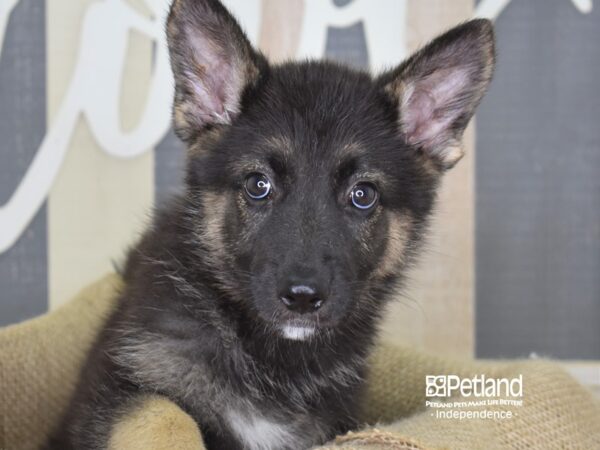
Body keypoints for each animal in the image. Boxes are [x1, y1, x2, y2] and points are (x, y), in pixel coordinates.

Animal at [47, 1, 494, 448]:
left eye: (363, 195)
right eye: (258, 185)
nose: (302, 297)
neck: (271, 356)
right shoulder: (113, 393)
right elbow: (164, 414)